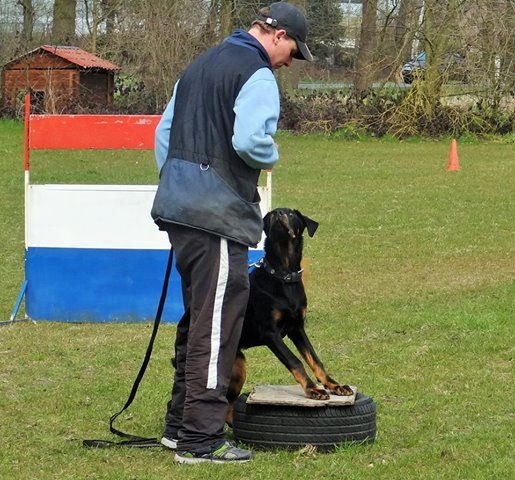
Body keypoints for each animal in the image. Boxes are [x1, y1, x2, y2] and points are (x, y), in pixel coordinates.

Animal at [228, 207, 352, 424]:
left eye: (292, 215)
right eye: (270, 215)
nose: (279, 213)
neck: (284, 277)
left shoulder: (297, 328)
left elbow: (314, 359)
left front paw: (334, 385)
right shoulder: (270, 334)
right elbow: (295, 361)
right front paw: (313, 390)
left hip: (238, 367)